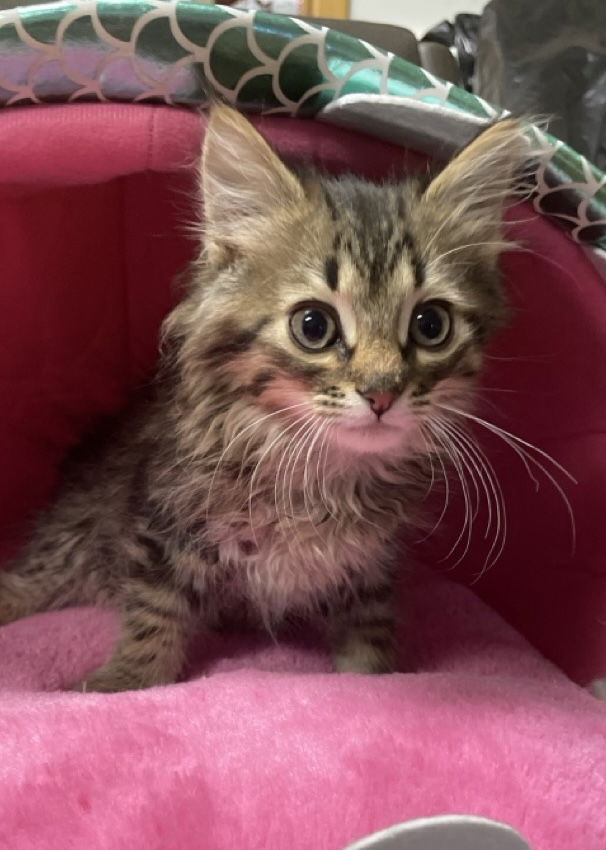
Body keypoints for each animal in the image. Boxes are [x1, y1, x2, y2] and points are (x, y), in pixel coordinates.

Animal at [0, 107, 532, 688]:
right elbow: (156, 614)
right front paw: (126, 682)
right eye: (314, 325)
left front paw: (374, 675)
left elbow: (370, 630)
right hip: (73, 537)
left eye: (431, 324)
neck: (324, 473)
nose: (382, 392)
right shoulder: (161, 524)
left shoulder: (370, 566)